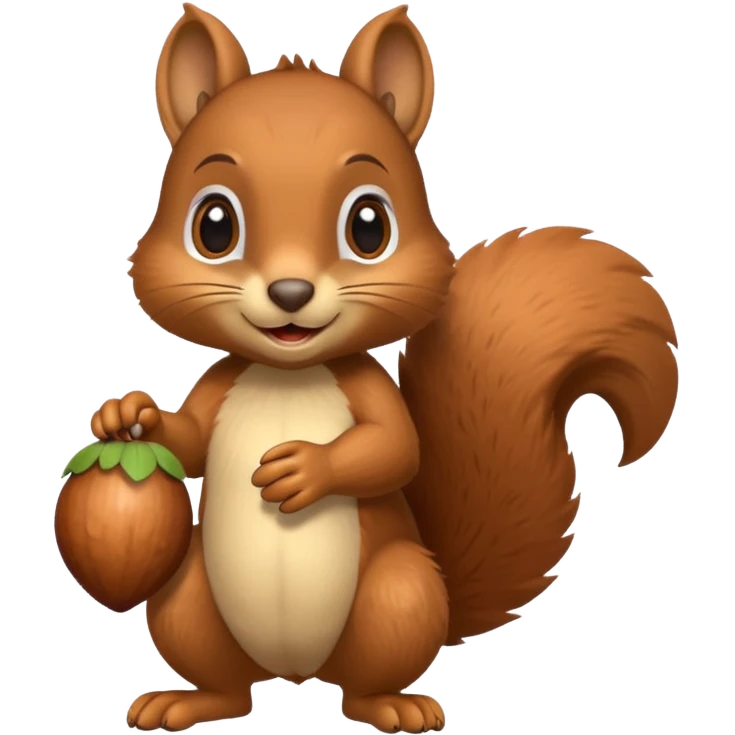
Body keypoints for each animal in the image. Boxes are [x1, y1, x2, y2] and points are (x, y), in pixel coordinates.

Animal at [80, 3, 679, 733]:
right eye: (213, 225)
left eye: (370, 226)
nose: (289, 293)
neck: (288, 371)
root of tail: (296, 674)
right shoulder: (219, 384)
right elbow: (190, 440)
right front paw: (128, 414)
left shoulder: (366, 383)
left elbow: (395, 448)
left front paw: (304, 467)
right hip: (190, 598)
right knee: (229, 686)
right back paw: (187, 700)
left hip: (400, 593)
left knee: (366, 676)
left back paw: (394, 705)